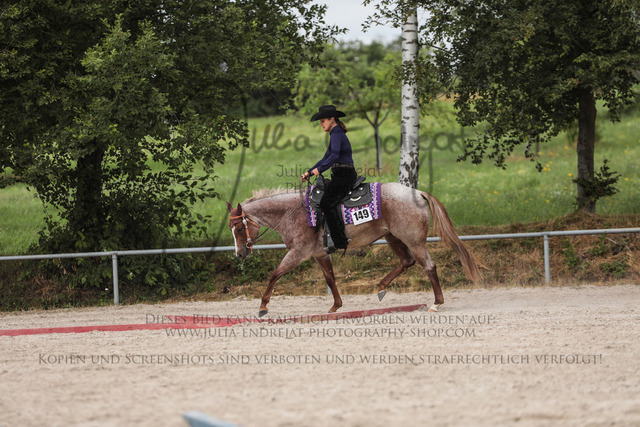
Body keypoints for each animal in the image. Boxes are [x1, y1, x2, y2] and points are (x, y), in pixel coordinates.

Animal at [227, 182, 480, 316]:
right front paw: (335, 306)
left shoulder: (298, 253)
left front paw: (263, 306)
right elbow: (330, 279)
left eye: (238, 228)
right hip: (392, 238)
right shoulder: (319, 255)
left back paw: (436, 303)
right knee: (406, 262)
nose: (239, 254)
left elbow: (275, 274)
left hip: (414, 241)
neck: (292, 212)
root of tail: (417, 193)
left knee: (429, 266)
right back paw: (381, 287)